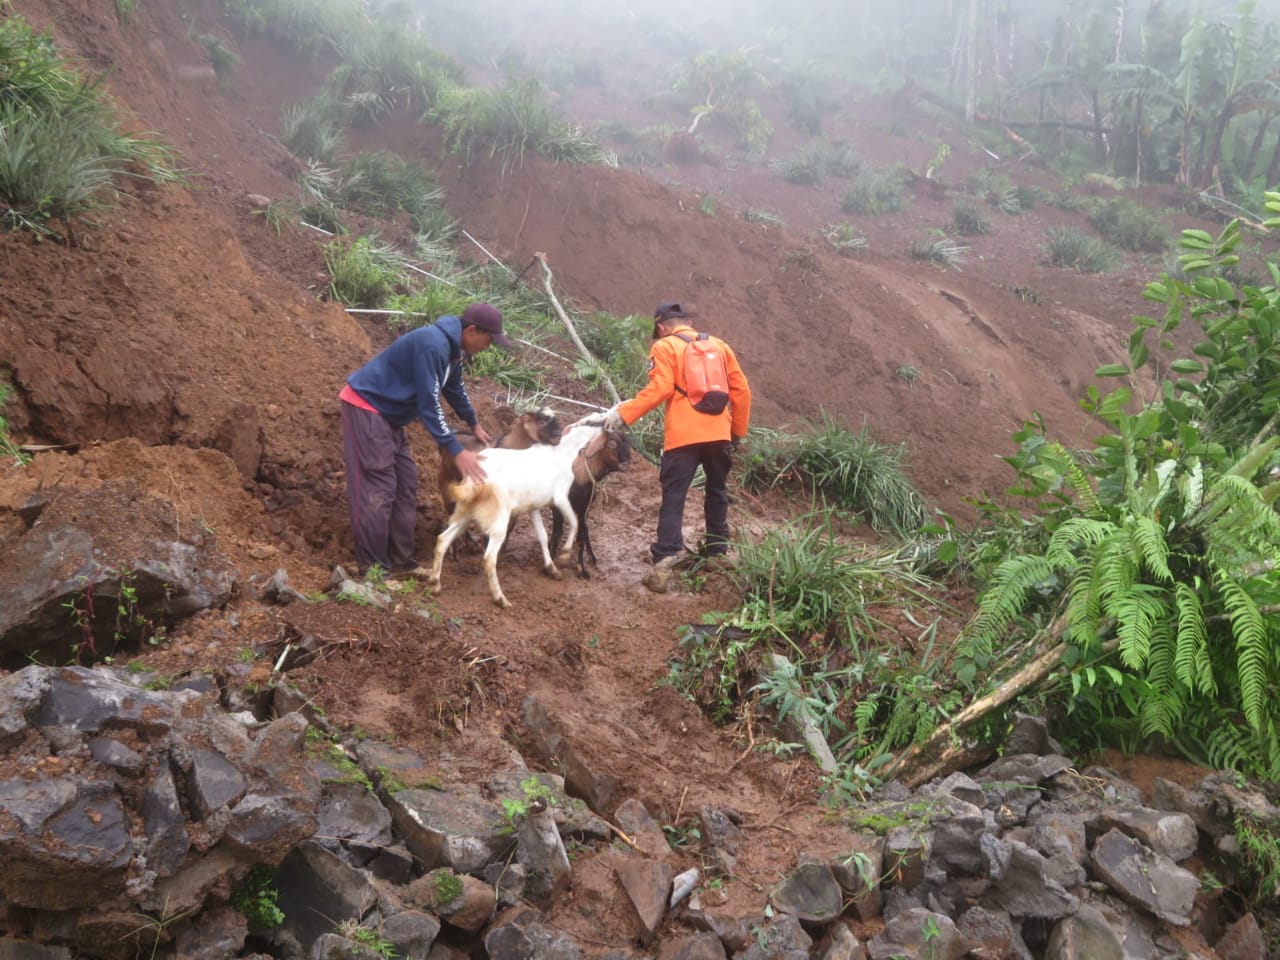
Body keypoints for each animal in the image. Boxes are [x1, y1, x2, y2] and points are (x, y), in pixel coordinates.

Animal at [550, 427, 629, 578]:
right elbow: (557, 532)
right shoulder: (557, 506)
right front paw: (550, 560)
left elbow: (581, 535)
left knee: (584, 530)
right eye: (612, 444)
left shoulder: (583, 508)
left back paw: (592, 557)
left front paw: (581, 568)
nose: (626, 464)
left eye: (627, 443)